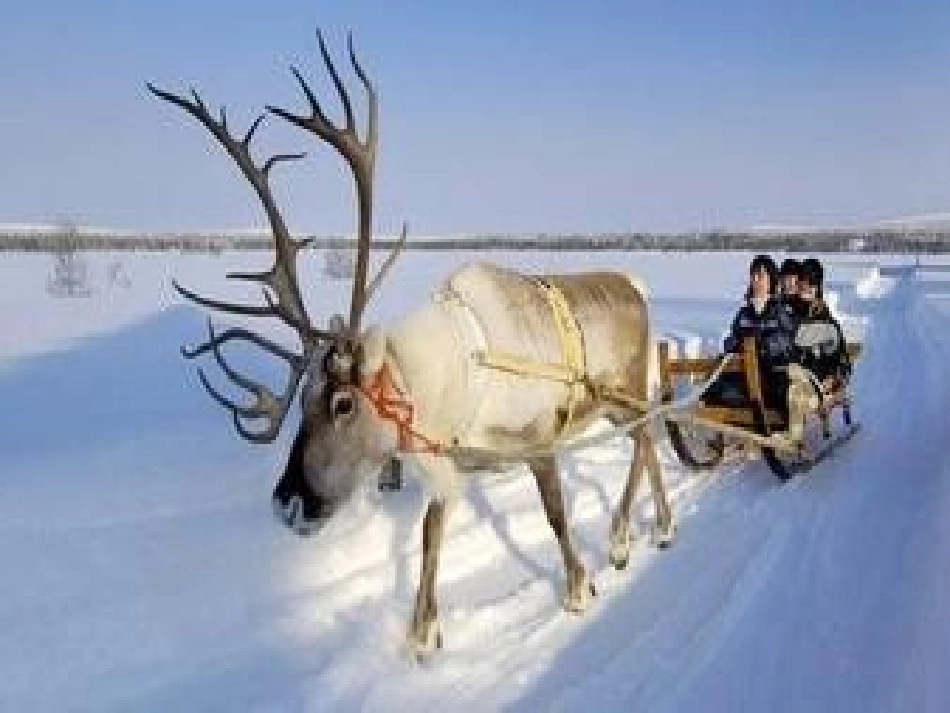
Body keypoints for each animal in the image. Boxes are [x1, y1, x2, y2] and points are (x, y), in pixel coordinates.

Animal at [149, 30, 675, 659]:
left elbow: (554, 515)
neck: (458, 373)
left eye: (343, 403)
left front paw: (576, 587)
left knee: (646, 436)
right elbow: (431, 530)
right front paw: (422, 632)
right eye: (300, 401)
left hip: (627, 389)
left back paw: (630, 536)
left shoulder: (537, 439)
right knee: (648, 439)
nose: (289, 504)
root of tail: (636, 284)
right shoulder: (447, 456)